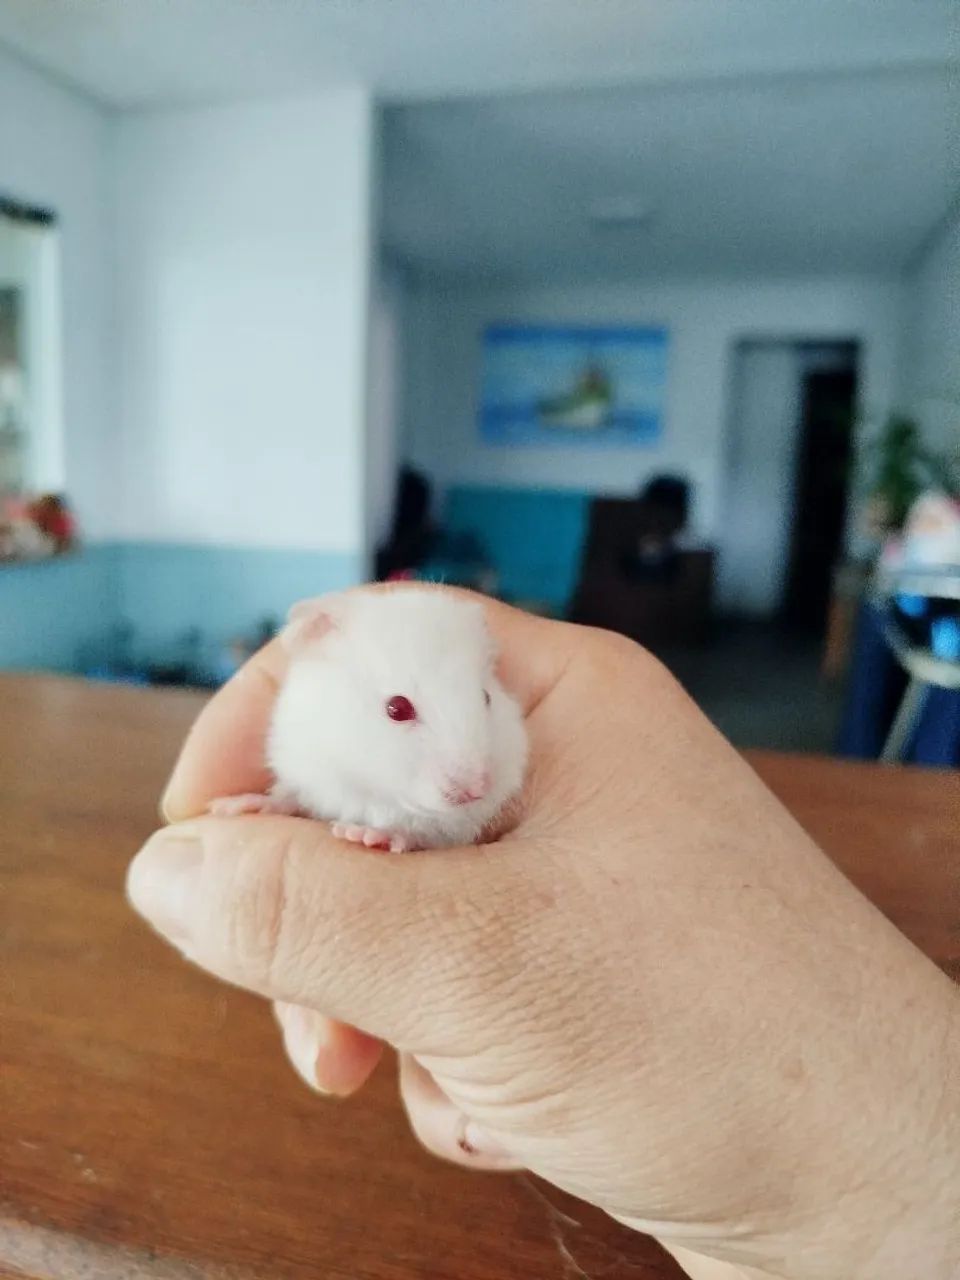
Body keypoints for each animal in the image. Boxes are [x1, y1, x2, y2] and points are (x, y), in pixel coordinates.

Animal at [210, 588, 528, 852]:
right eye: (397, 708)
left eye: (486, 697)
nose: (478, 790)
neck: (369, 784)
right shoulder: (306, 768)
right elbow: (287, 796)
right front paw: (231, 806)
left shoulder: (452, 827)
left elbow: (420, 833)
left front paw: (363, 834)